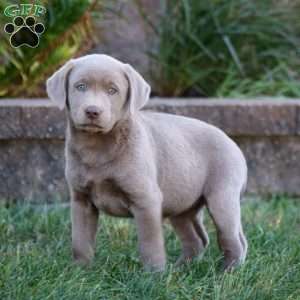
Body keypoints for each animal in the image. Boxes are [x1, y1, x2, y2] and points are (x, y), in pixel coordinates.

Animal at [47, 54, 247, 272]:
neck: (96, 146)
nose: (92, 111)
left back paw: (228, 271)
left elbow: (150, 243)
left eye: (112, 90)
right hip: (182, 204)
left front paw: (154, 274)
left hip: (222, 196)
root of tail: (233, 143)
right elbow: (80, 240)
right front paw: (81, 270)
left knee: (233, 238)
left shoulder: (146, 199)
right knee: (196, 239)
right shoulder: (81, 200)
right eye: (80, 86)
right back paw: (180, 269)